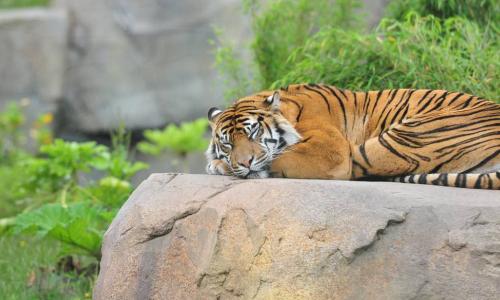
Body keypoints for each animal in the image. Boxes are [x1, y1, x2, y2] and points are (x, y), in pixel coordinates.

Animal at [204, 83, 500, 189]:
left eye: (253, 131)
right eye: (227, 143)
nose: (245, 163)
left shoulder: (330, 150)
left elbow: (277, 158)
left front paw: (218, 165)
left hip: (397, 140)